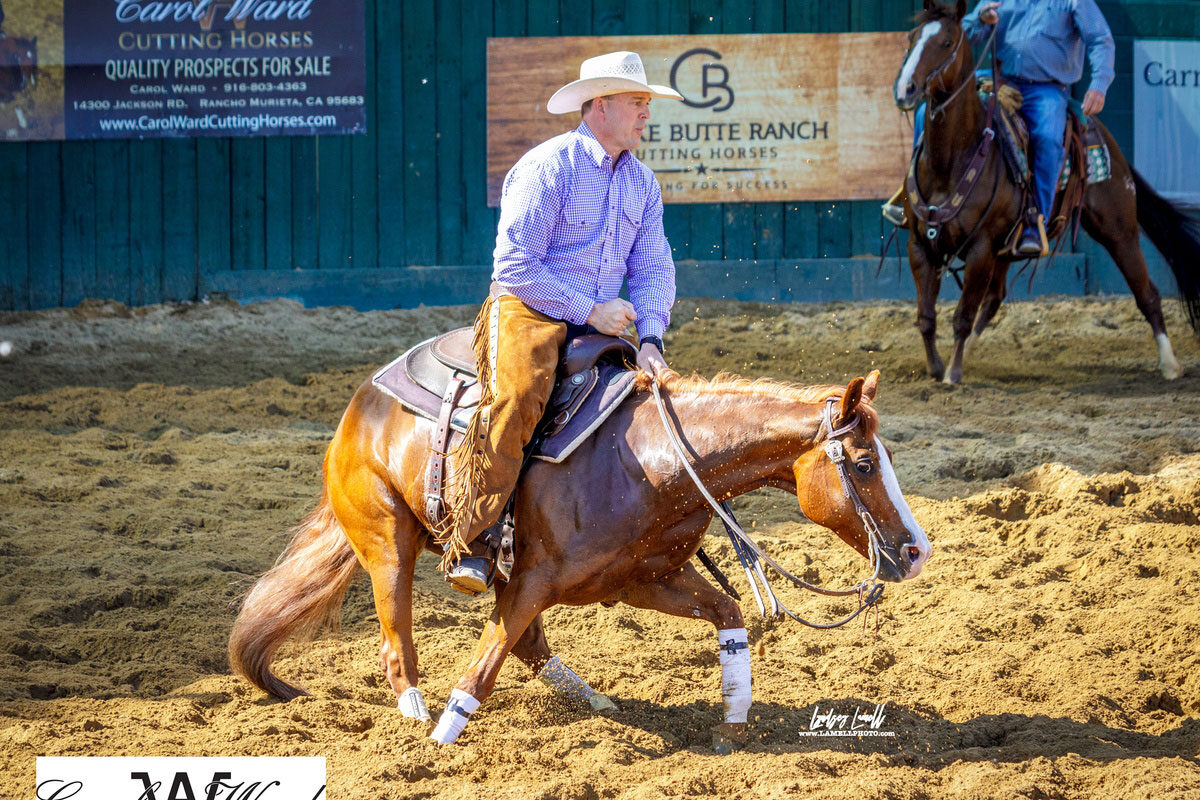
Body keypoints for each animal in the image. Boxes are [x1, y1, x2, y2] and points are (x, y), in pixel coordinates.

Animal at [228, 360, 931, 748]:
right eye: (863, 464)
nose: (917, 551)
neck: (650, 462)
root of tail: (361, 404)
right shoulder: (531, 581)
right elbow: (482, 667)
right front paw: (442, 740)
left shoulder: (644, 580)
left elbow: (729, 615)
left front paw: (732, 722)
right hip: (388, 542)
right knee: (397, 640)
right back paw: (414, 714)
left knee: (531, 647)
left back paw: (594, 703)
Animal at [893, 0, 1200, 385]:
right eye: (911, 38)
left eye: (947, 42)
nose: (906, 90)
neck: (952, 160)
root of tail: (1103, 136)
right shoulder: (920, 245)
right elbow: (926, 317)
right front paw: (936, 368)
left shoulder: (980, 248)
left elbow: (962, 316)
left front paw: (951, 375)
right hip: (1005, 250)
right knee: (993, 300)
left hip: (1119, 230)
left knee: (1148, 294)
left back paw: (1170, 364)